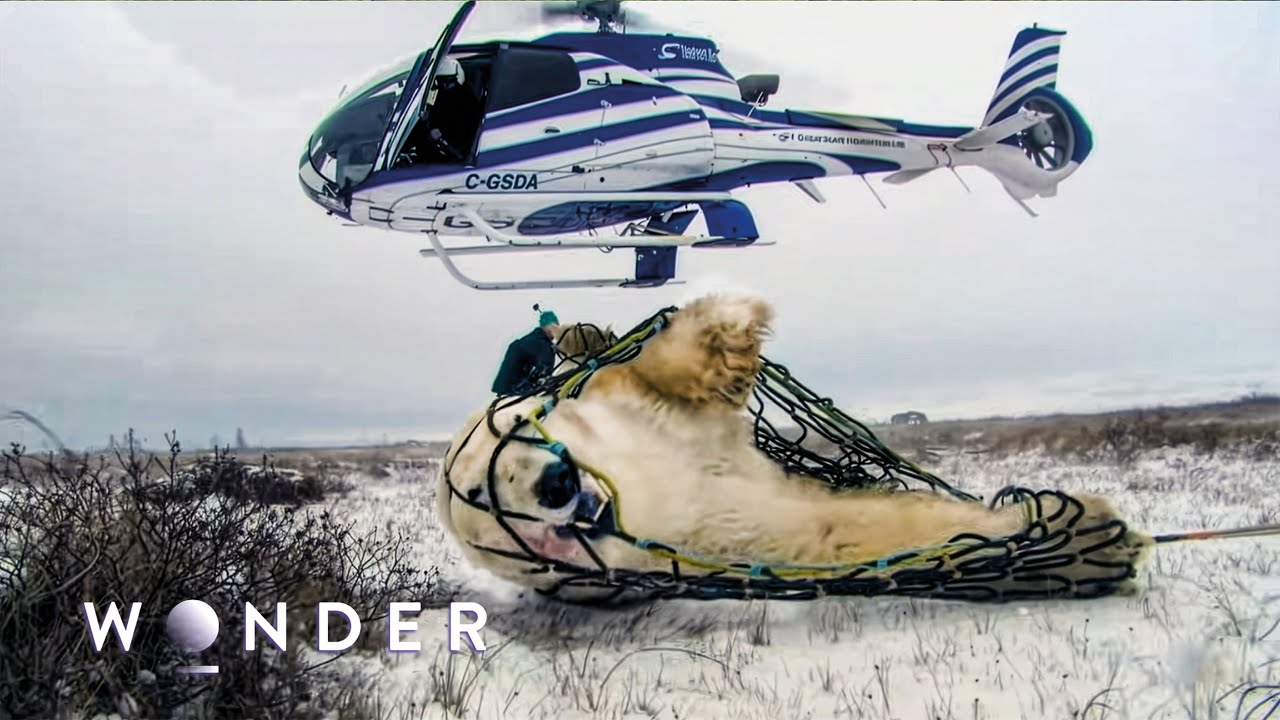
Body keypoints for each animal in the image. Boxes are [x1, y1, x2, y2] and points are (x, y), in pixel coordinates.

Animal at [437, 293, 1154, 604]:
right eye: (482, 493)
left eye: (514, 431)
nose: (555, 485)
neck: (642, 485)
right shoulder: (693, 536)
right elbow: (822, 532)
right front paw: (1084, 537)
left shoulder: (641, 417)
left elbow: (656, 371)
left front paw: (728, 327)